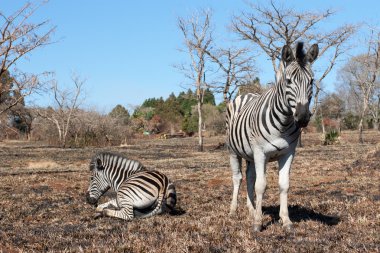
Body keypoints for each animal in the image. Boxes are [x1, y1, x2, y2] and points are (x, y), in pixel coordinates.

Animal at [227, 42, 320, 232]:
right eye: (288, 81)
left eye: (312, 81)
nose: (302, 117)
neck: (283, 123)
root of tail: (246, 94)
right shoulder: (260, 152)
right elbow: (261, 186)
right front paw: (258, 223)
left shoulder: (288, 153)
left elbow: (284, 185)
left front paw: (286, 220)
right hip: (233, 150)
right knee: (237, 178)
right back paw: (233, 211)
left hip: (250, 155)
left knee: (249, 177)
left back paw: (251, 209)